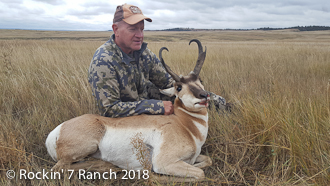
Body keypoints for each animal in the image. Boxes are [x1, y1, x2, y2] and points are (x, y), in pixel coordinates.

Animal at [45, 39, 213, 180]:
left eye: (199, 80)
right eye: (179, 87)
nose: (204, 96)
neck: (185, 125)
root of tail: (57, 131)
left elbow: (207, 160)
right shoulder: (164, 162)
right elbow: (200, 173)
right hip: (85, 147)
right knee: (58, 169)